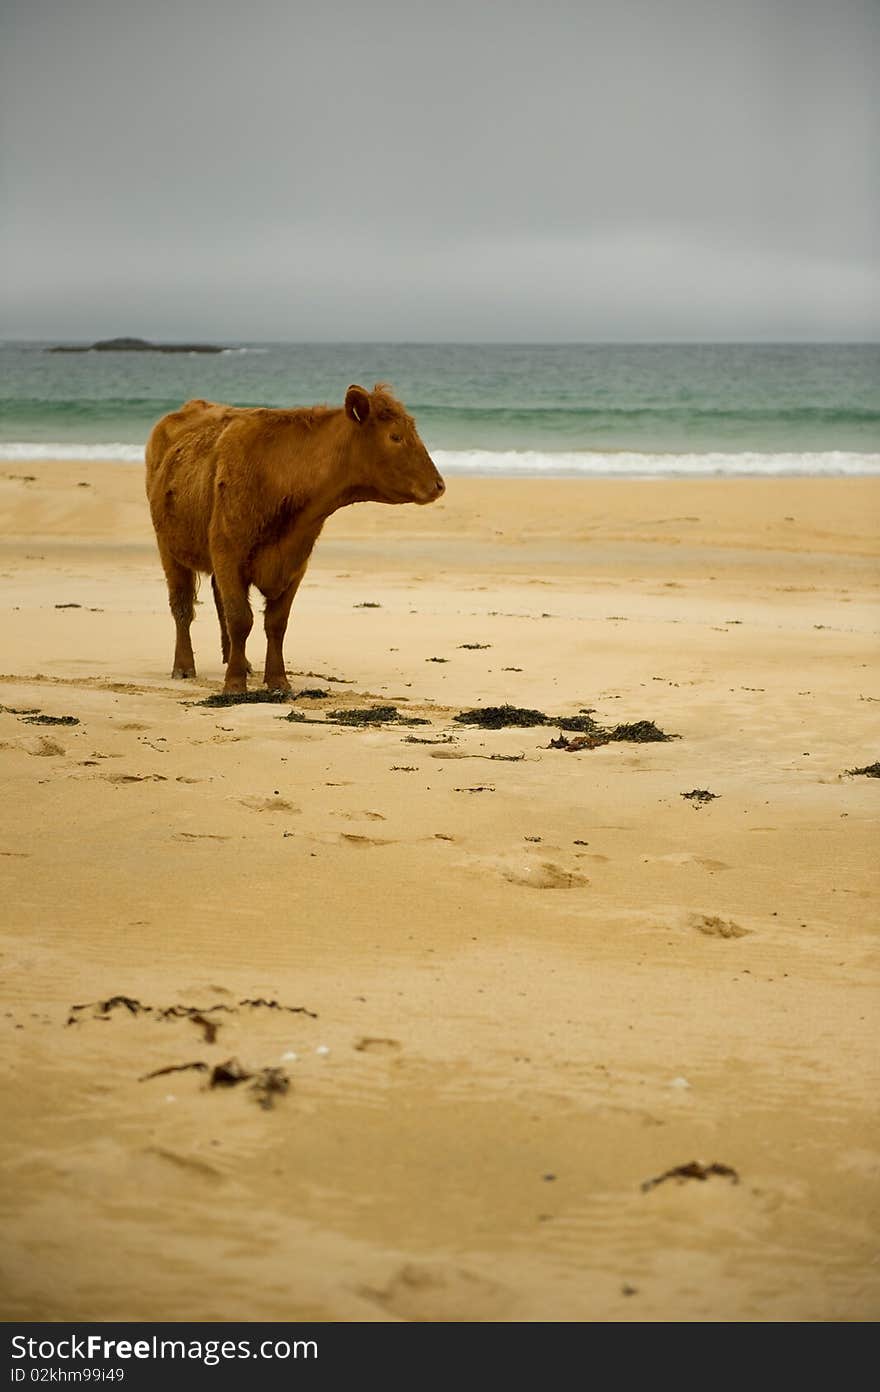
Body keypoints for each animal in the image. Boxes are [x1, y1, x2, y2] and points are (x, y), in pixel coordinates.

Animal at [147, 384, 445, 693]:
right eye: (395, 436)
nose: (439, 485)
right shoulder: (228, 555)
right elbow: (241, 619)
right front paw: (234, 685)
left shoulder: (295, 564)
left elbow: (276, 623)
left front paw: (278, 681)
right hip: (168, 548)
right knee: (182, 606)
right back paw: (184, 667)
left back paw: (240, 662)